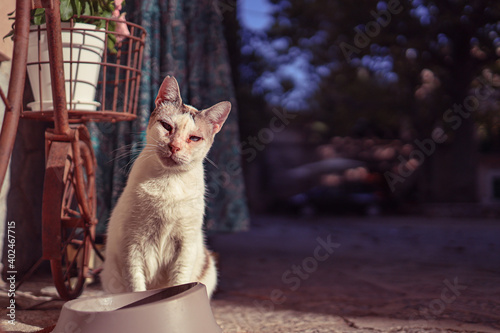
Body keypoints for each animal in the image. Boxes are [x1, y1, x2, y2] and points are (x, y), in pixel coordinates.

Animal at [101, 74, 230, 296]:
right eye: (167, 127)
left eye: (194, 138)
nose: (174, 146)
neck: (168, 182)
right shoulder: (132, 245)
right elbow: (136, 287)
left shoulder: (185, 245)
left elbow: (178, 284)